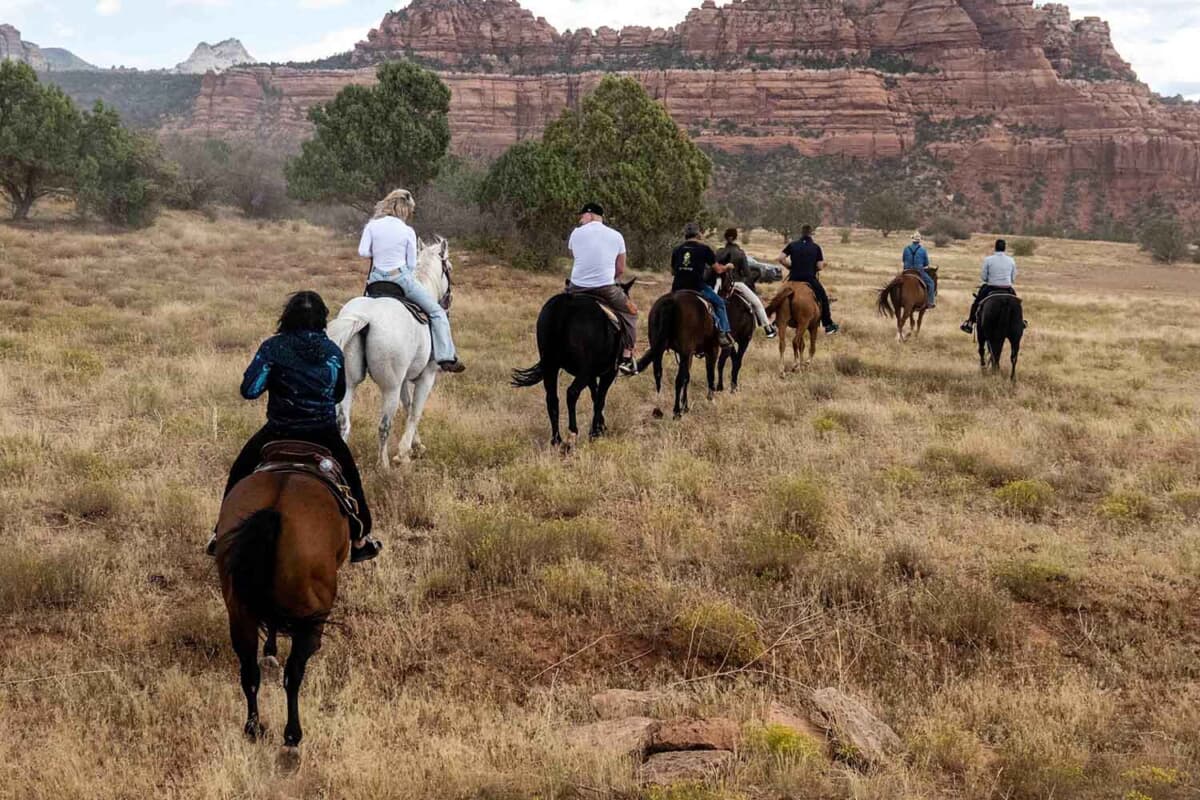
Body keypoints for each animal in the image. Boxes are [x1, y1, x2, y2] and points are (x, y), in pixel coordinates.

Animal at [214, 472, 348, 767]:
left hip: (240, 612)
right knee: (294, 673)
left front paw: (270, 652)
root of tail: (276, 508)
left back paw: (253, 728)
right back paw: (291, 740)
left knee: (249, 671)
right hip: (310, 619)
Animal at [326, 235, 451, 465]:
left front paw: (415, 446)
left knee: (343, 423)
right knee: (384, 426)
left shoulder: (403, 380)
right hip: (389, 387)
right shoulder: (427, 376)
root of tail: (365, 317)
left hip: (349, 382)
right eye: (449, 267)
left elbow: (408, 406)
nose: (447, 300)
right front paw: (404, 453)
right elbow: (415, 411)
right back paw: (383, 465)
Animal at [511, 280, 633, 443]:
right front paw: (595, 432)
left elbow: (595, 396)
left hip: (551, 365)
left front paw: (600, 427)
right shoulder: (608, 372)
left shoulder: (592, 376)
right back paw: (572, 434)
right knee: (572, 393)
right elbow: (600, 399)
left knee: (552, 398)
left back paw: (557, 439)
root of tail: (564, 306)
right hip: (583, 371)